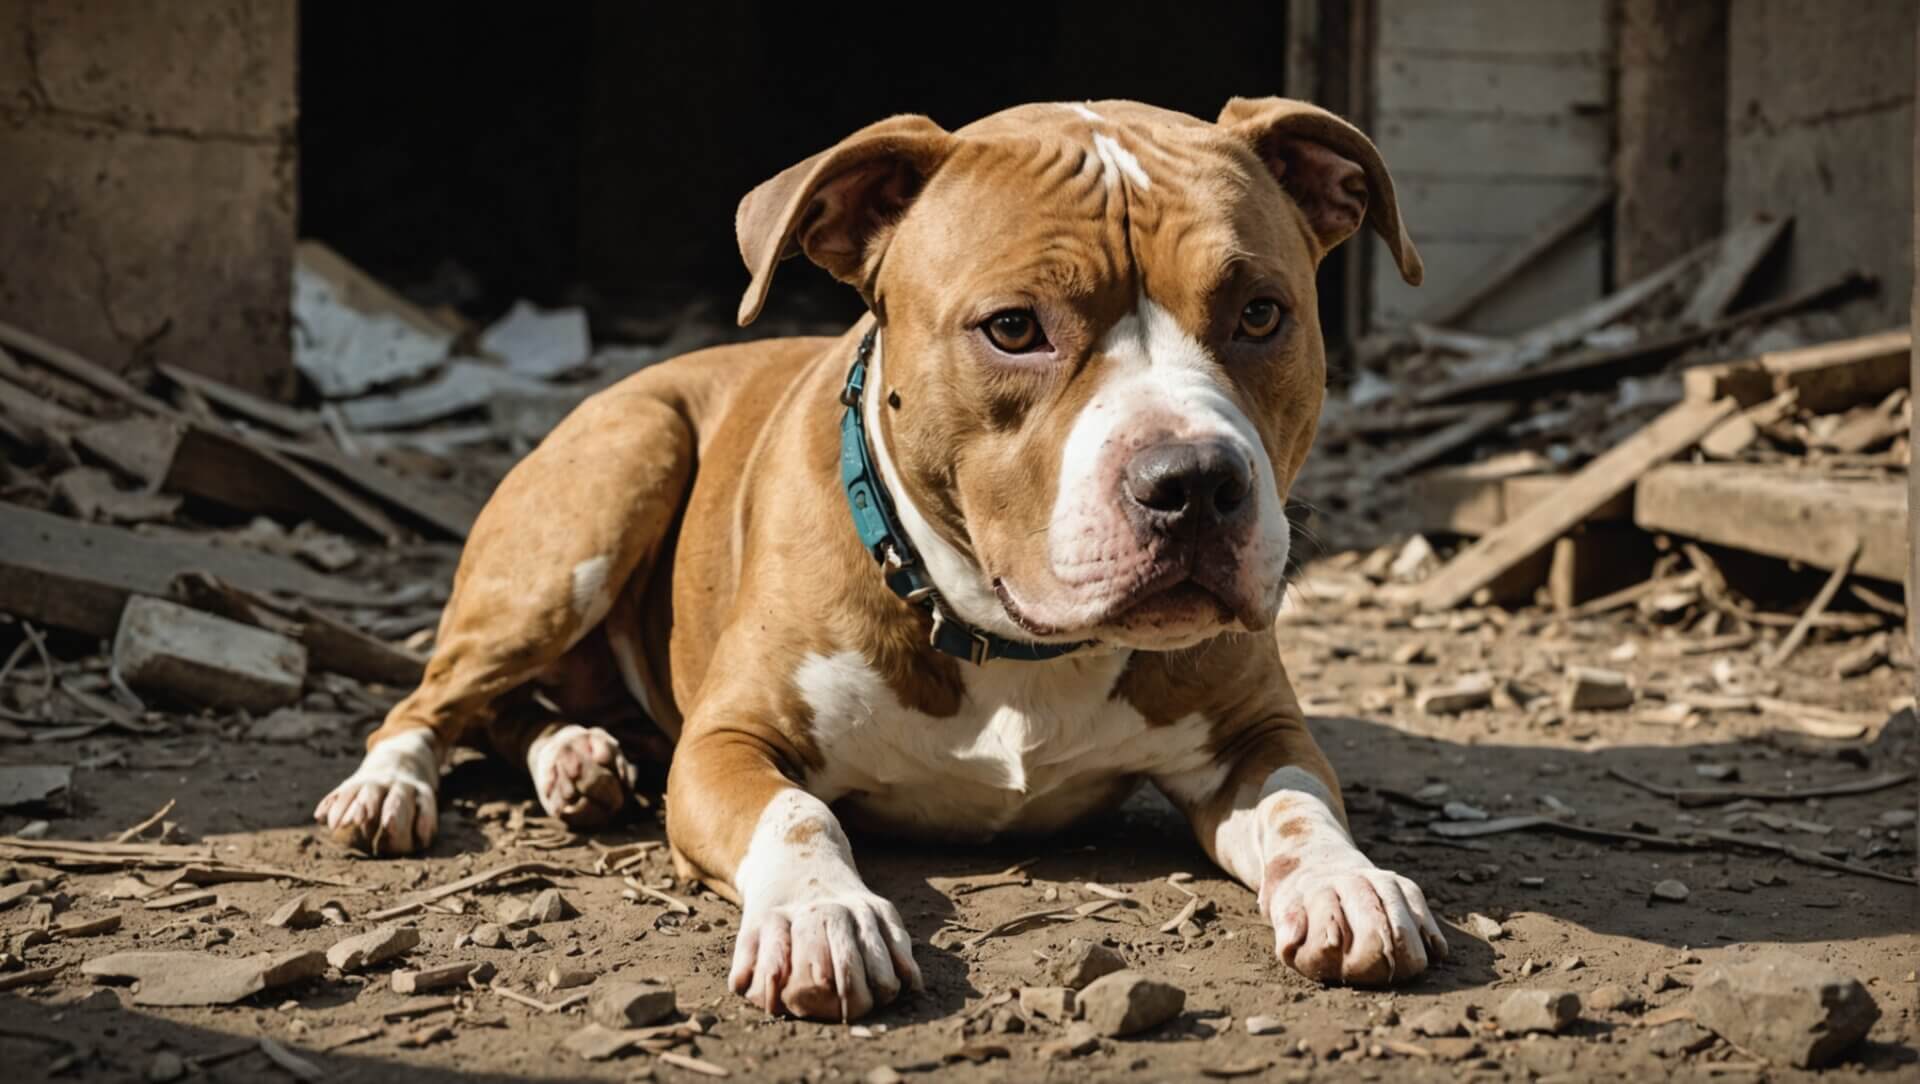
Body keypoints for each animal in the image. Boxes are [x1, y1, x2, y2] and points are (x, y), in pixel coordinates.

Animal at [311, 97, 1443, 1020]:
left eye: (1261, 313)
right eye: (1013, 328)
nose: (1195, 481)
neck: (1003, 638)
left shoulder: (1256, 729)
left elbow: (1298, 802)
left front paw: (1347, 883)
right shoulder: (727, 741)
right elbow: (797, 814)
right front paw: (823, 917)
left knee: (515, 710)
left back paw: (576, 756)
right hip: (600, 499)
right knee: (434, 696)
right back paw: (390, 790)